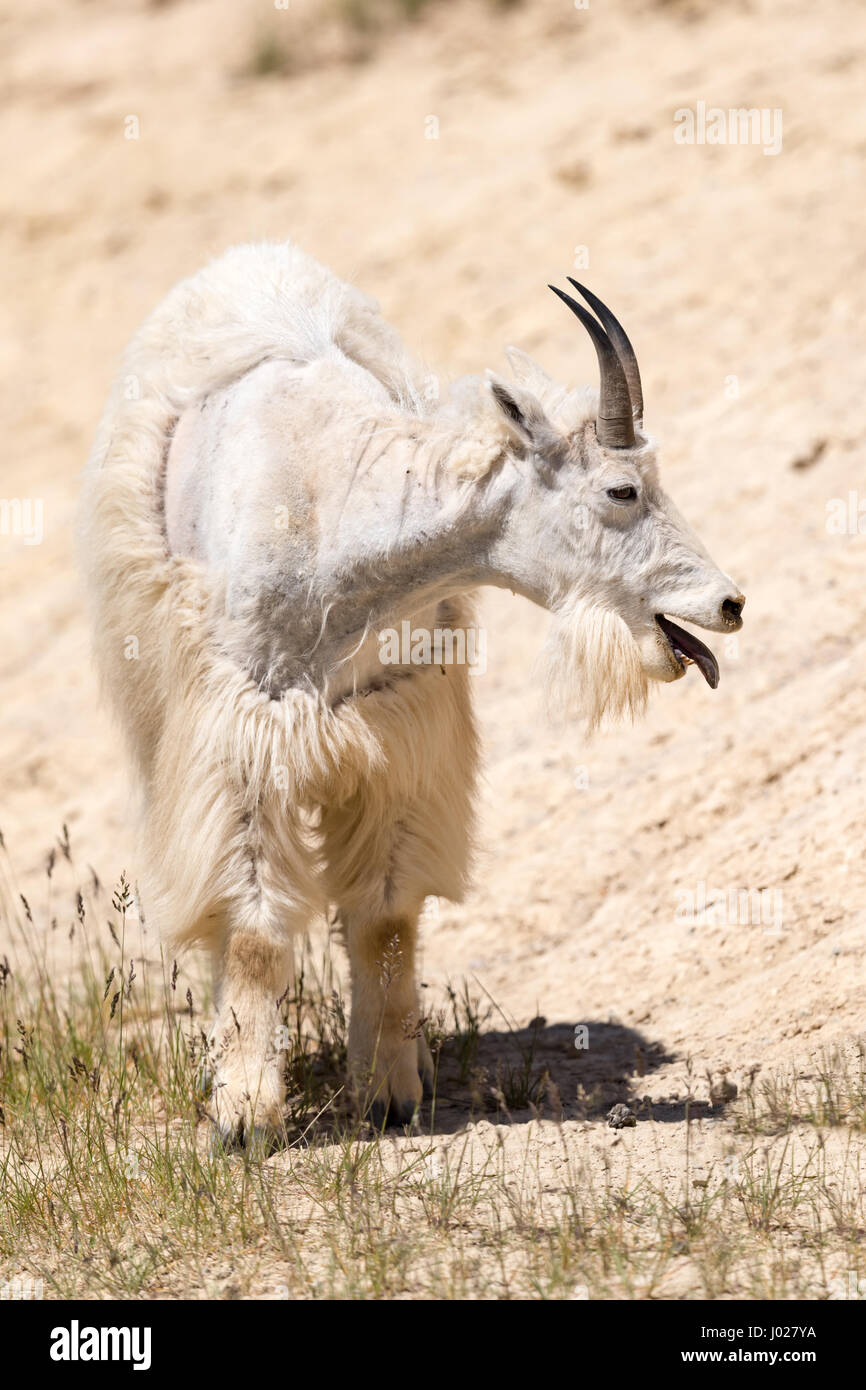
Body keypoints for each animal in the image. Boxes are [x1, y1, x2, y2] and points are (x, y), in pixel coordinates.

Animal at [79, 241, 745, 1139]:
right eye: (622, 490)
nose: (729, 604)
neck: (333, 521)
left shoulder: (397, 727)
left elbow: (387, 917)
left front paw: (390, 1093)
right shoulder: (243, 733)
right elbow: (253, 929)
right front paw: (246, 1114)